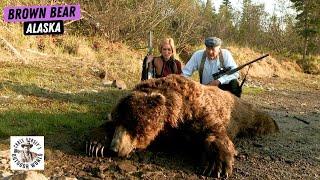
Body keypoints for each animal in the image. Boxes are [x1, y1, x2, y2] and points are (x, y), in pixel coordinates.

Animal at [86, 74, 278, 177]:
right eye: (118, 120)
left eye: (133, 124)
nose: (114, 149)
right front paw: (95, 144)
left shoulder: (196, 113)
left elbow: (214, 133)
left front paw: (217, 165)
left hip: (245, 113)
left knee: (260, 119)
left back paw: (274, 125)